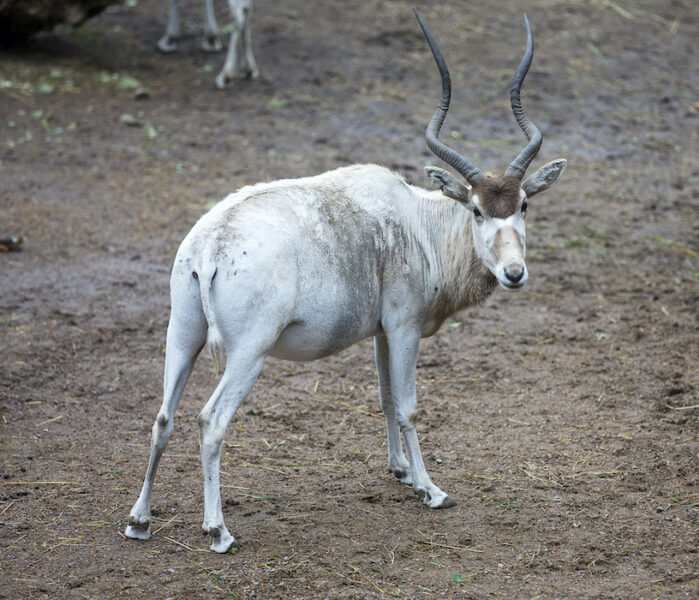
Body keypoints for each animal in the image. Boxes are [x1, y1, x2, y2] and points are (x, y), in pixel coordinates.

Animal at [124, 9, 564, 552]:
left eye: (523, 204)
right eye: (477, 210)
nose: (514, 273)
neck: (418, 223)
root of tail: (210, 246)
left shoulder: (382, 332)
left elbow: (386, 397)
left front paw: (401, 472)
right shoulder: (404, 327)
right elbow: (409, 406)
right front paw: (432, 490)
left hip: (183, 334)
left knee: (163, 417)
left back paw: (139, 521)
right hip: (249, 351)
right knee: (210, 420)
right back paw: (218, 530)